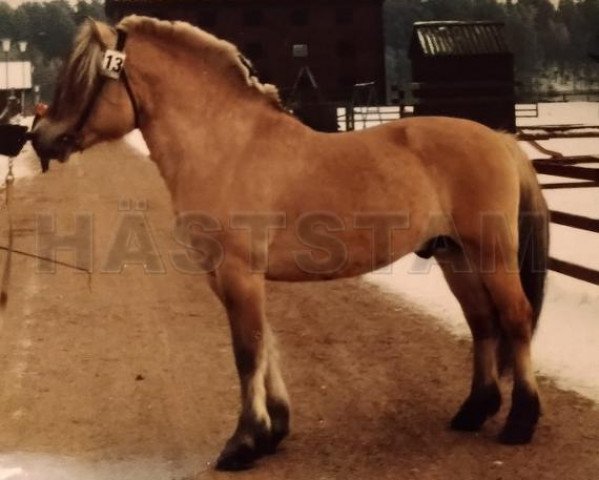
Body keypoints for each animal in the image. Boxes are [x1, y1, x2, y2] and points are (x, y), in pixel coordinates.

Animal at [31, 16, 548, 470]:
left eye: (84, 78)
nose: (41, 138)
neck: (228, 148)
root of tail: (500, 139)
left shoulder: (238, 273)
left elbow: (247, 351)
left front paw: (243, 443)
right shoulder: (226, 276)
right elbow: (266, 344)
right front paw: (273, 431)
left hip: (491, 253)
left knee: (516, 318)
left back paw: (520, 422)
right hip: (453, 255)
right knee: (482, 323)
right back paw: (473, 411)